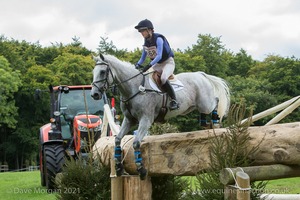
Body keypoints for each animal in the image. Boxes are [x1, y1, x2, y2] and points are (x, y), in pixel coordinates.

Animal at [91, 53, 230, 180]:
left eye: (102, 72)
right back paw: (205, 123)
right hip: (193, 107)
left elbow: (136, 143)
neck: (134, 88)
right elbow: (117, 139)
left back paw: (215, 121)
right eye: (94, 72)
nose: (95, 94)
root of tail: (201, 74)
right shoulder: (129, 120)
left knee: (216, 100)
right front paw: (119, 166)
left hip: (205, 104)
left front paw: (141, 169)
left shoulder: (146, 119)